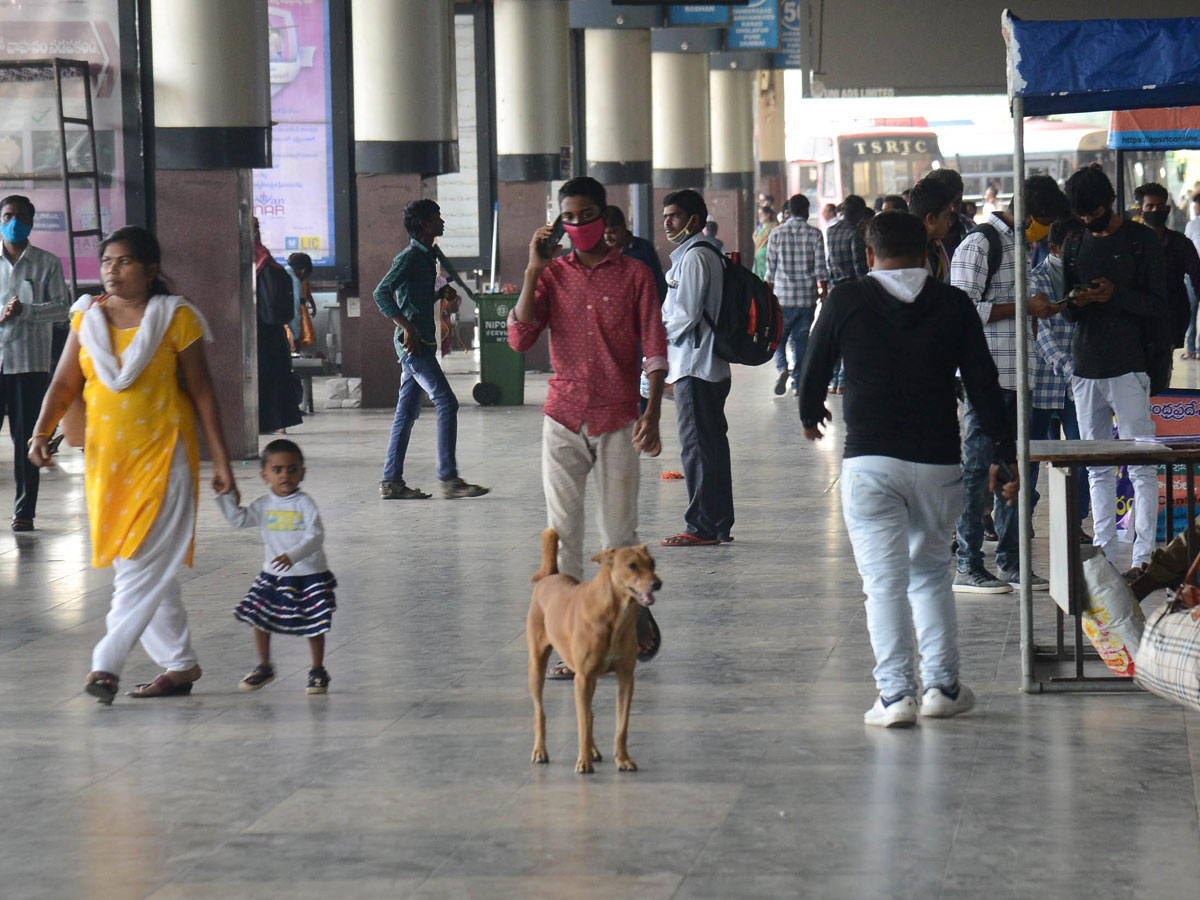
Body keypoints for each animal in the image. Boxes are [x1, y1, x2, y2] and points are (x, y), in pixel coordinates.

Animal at [525, 528, 662, 777]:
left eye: (652, 563)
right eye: (632, 566)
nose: (657, 584)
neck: (615, 614)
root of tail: (551, 575)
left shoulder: (625, 678)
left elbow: (620, 725)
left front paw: (623, 759)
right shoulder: (582, 678)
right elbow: (582, 726)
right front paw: (583, 761)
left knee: (589, 714)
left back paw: (594, 750)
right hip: (537, 665)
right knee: (540, 711)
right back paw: (540, 751)